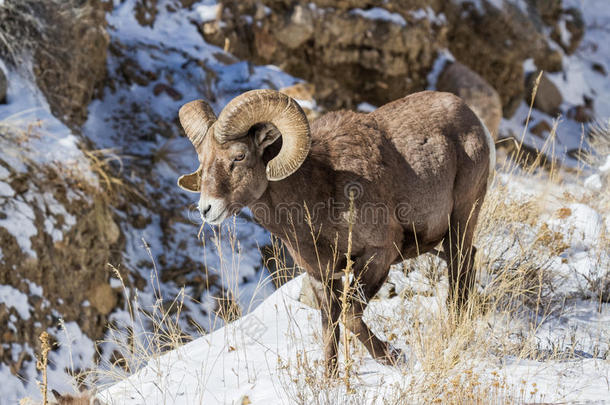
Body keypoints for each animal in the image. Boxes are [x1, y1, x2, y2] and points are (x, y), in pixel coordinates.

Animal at [176, 89, 494, 372]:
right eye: (202, 161)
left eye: (239, 156)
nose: (207, 209)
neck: (317, 196)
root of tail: (470, 116)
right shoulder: (322, 275)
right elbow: (330, 327)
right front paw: (329, 379)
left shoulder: (377, 257)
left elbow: (350, 316)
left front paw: (393, 357)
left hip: (462, 217)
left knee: (460, 266)